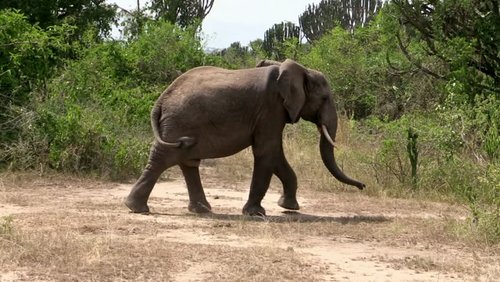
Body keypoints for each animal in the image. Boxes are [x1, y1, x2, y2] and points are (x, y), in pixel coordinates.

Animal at [125, 57, 366, 216]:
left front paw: (288, 208)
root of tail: (162, 98)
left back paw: (201, 211)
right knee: (164, 158)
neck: (296, 69)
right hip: (179, 122)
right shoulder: (271, 108)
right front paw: (256, 213)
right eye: (324, 98)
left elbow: (275, 154)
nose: (363, 186)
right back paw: (137, 209)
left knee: (187, 161)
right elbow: (267, 151)